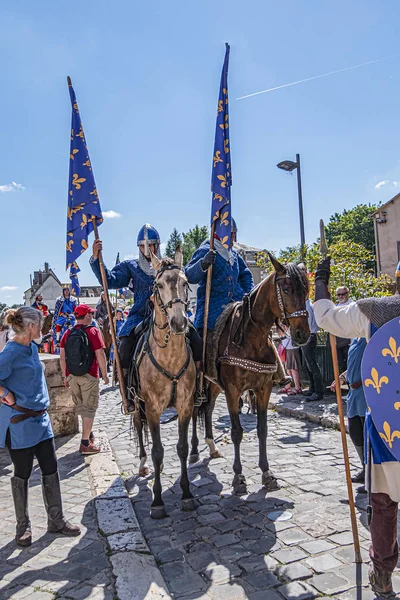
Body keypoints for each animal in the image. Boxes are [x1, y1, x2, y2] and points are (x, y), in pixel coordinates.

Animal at [190, 253, 310, 492]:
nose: (303, 334)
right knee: (193, 411)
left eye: (307, 289)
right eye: (286, 289)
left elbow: (262, 429)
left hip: (214, 384)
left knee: (208, 409)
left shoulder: (263, 389)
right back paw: (194, 450)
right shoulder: (233, 391)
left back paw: (212, 446)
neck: (251, 339)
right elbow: (237, 432)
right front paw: (238, 477)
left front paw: (267, 473)